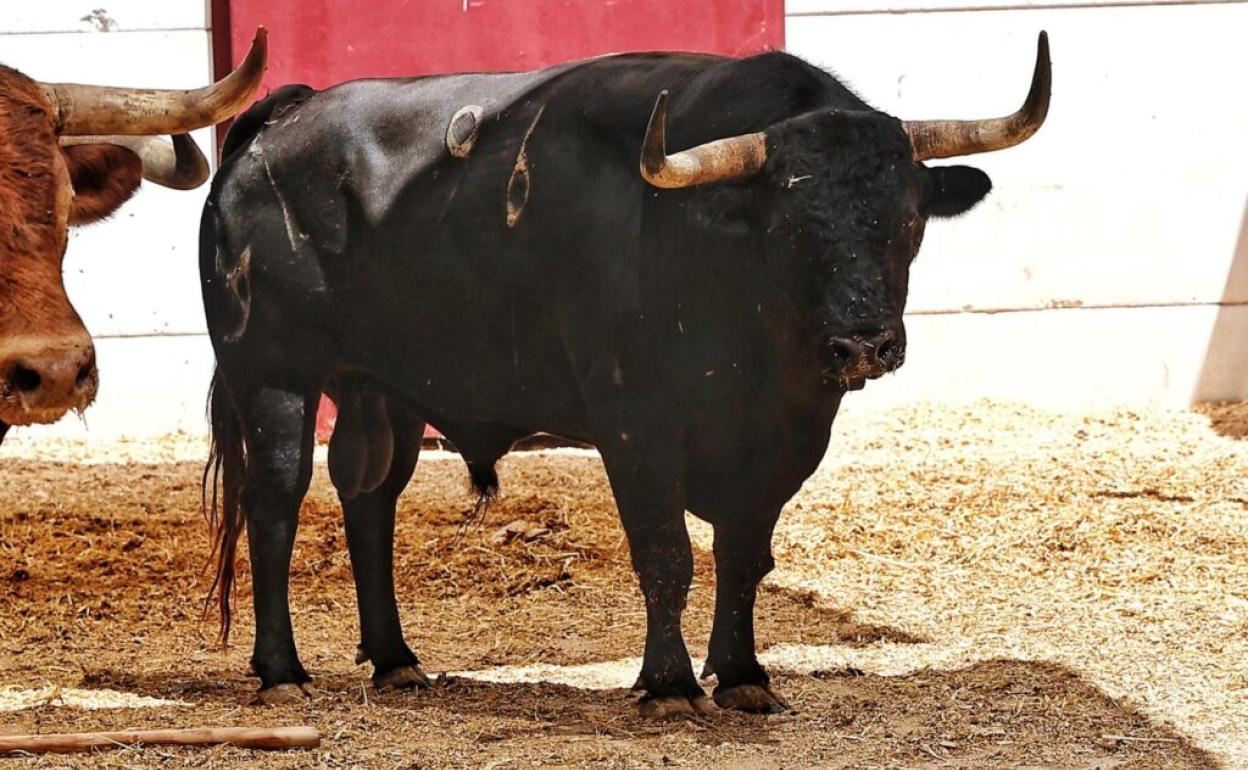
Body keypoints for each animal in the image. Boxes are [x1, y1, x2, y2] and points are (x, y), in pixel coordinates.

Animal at [199, 38, 1048, 713]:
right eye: (793, 225)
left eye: (908, 221)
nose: (865, 344)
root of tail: (284, 120)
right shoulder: (636, 425)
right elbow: (667, 553)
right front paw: (670, 684)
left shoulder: (785, 442)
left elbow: (744, 556)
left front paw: (743, 675)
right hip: (272, 375)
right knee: (276, 501)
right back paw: (281, 670)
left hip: (379, 388)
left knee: (370, 497)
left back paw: (396, 661)